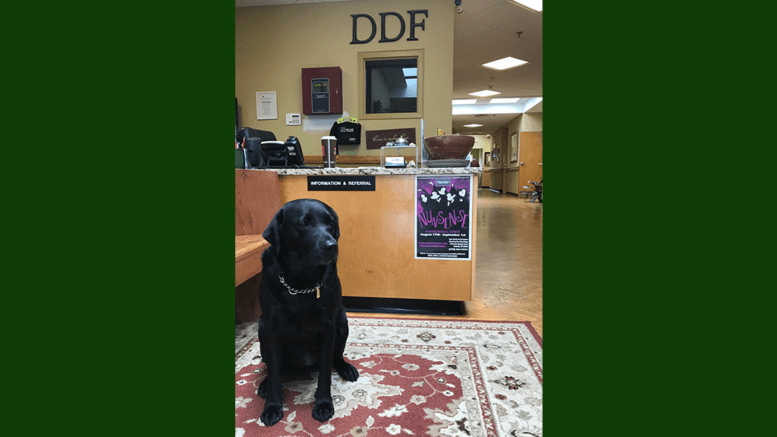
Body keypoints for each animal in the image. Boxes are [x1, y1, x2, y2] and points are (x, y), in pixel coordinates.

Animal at [260, 199, 360, 424]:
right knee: (274, 367)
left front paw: (323, 403)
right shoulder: (271, 328)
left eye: (330, 223)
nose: (333, 246)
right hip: (261, 329)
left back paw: (346, 368)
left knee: (335, 357)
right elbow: (275, 374)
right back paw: (264, 384)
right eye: (303, 223)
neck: (301, 283)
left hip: (342, 322)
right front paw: (272, 406)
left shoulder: (328, 327)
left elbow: (325, 373)